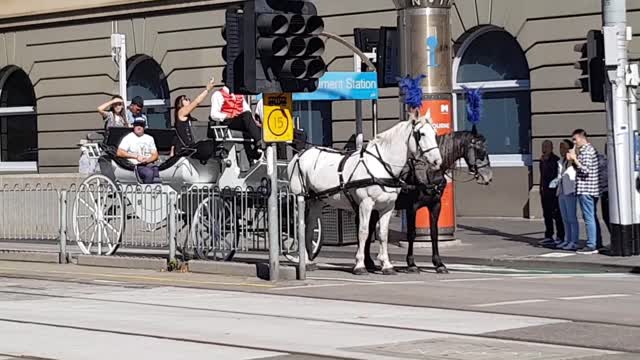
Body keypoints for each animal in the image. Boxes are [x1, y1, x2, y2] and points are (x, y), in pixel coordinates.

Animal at [288, 108, 442, 274]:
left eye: (435, 133)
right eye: (421, 134)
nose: (437, 161)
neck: (381, 165)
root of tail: (299, 154)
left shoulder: (388, 207)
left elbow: (383, 234)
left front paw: (386, 265)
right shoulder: (366, 204)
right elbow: (363, 232)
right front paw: (360, 265)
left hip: (316, 200)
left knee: (309, 228)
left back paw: (308, 261)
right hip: (300, 199)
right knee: (300, 227)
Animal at [362, 129, 492, 272]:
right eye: (480, 150)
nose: (488, 176)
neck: (429, 171)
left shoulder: (435, 205)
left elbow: (434, 233)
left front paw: (438, 263)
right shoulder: (412, 208)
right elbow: (411, 234)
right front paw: (411, 263)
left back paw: (369, 262)